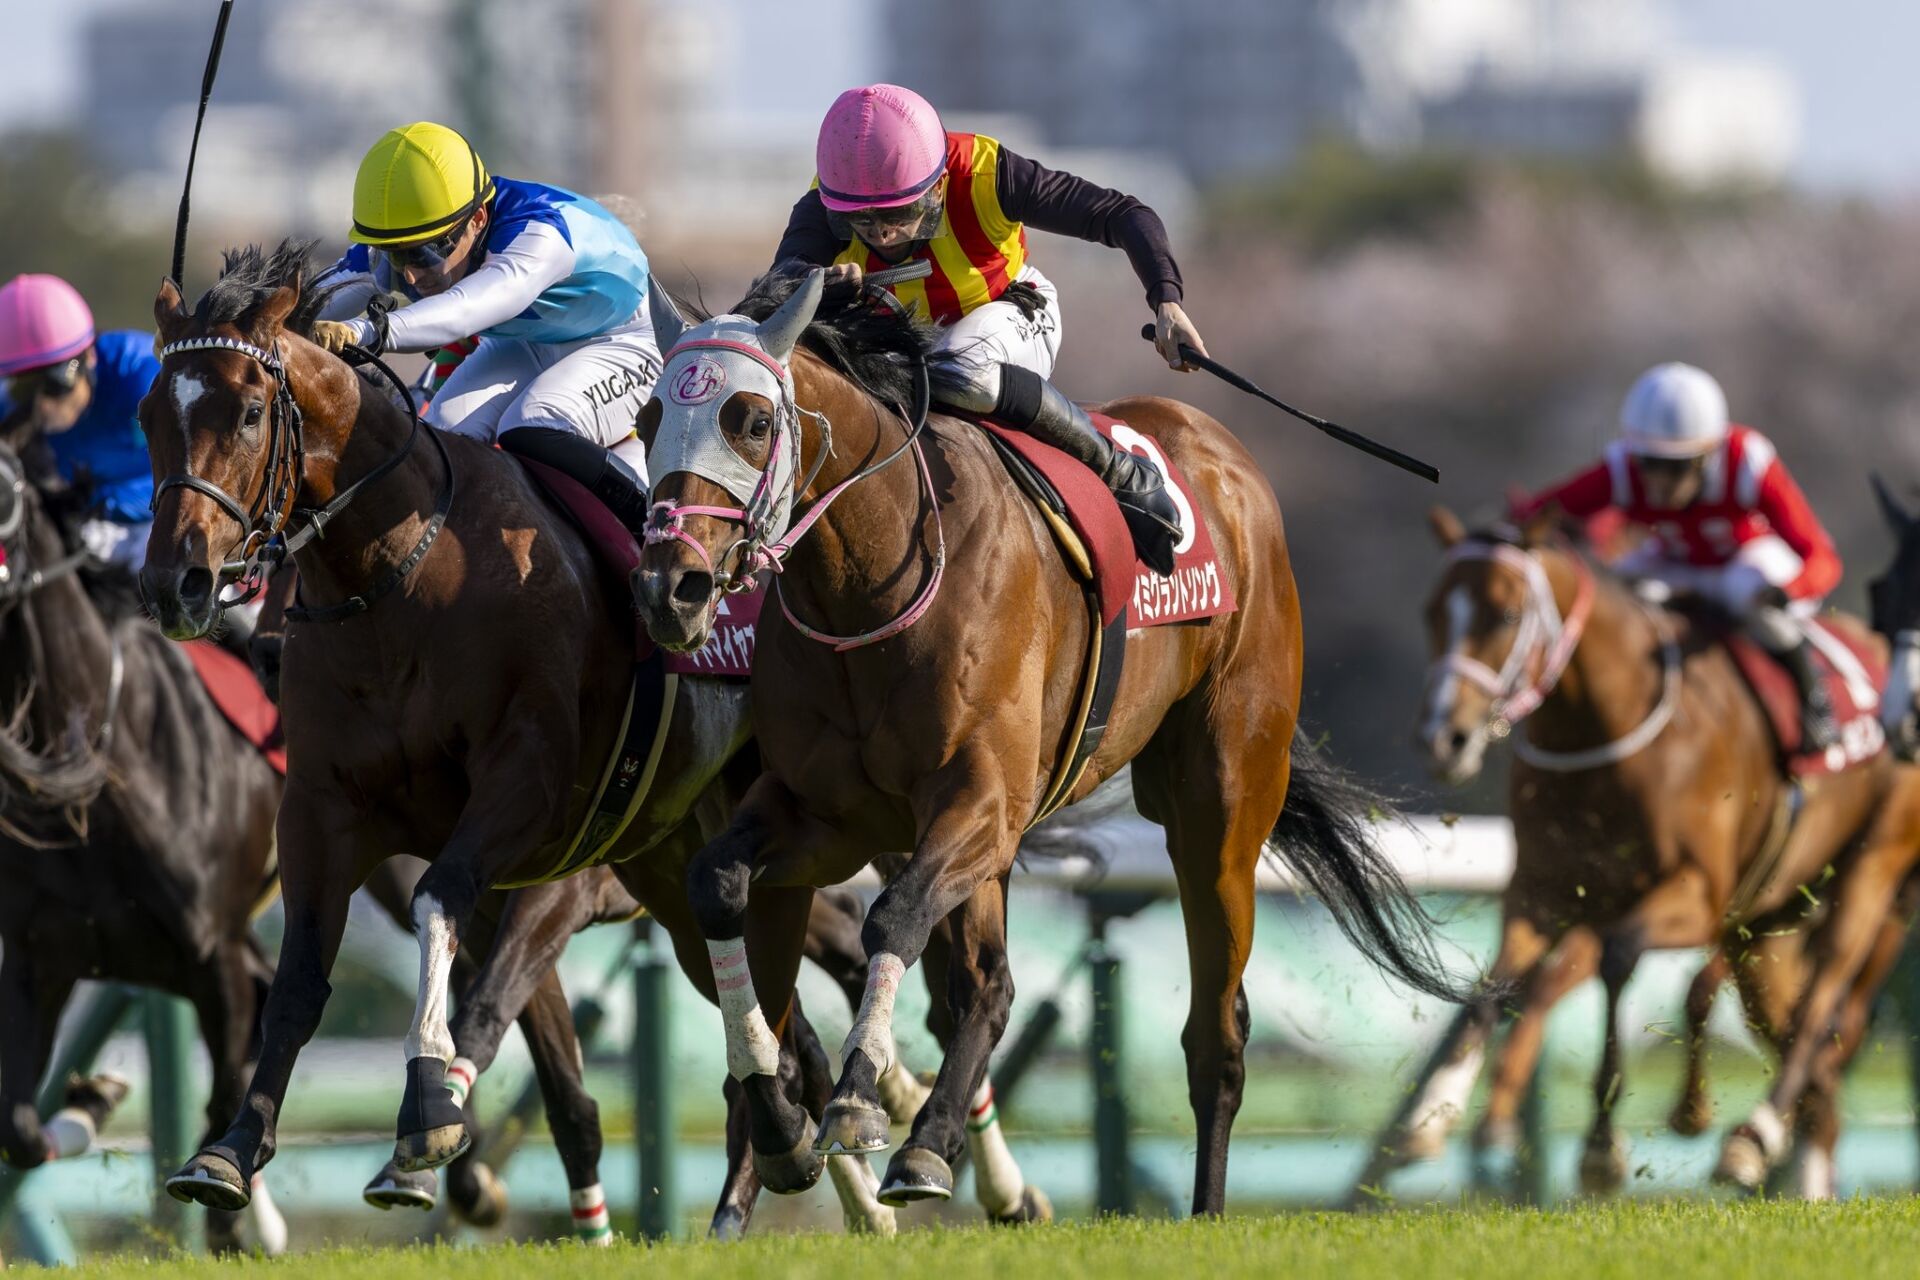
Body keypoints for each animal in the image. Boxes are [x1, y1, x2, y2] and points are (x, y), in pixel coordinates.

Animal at [0, 431, 286, 1254]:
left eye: (1, 489)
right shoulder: (40, 955)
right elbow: (20, 1128)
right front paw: (90, 1098)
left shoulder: (211, 958)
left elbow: (225, 1088)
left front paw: (229, 1225)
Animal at [138, 244, 1047, 1234]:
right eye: (150, 416)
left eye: (250, 412)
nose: (177, 583)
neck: (401, 576)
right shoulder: (321, 807)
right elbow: (303, 978)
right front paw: (228, 1151)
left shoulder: (526, 796)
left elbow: (443, 917)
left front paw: (424, 1116)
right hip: (681, 867)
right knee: (771, 1015)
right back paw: (805, 1151)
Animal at [630, 267, 1462, 1215]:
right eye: (648, 421)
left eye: (751, 420)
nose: (669, 587)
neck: (868, 587)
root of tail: (1224, 457)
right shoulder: (824, 815)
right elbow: (719, 883)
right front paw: (781, 1125)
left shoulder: (983, 800)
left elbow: (894, 917)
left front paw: (855, 1099)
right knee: (986, 987)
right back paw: (933, 1146)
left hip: (1219, 805)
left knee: (1215, 1029)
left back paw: (1201, 1207)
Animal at [1393, 507, 1920, 1194]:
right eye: (1432, 610)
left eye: (1505, 614)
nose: (1443, 740)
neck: (1605, 734)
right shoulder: (1541, 891)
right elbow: (1495, 985)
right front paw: (1429, 1116)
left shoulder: (1693, 896)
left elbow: (1619, 961)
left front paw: (1601, 1146)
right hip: (1767, 926)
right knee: (1804, 1044)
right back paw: (1795, 1168)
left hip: (1872, 870)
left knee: (1820, 1009)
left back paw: (1752, 1136)